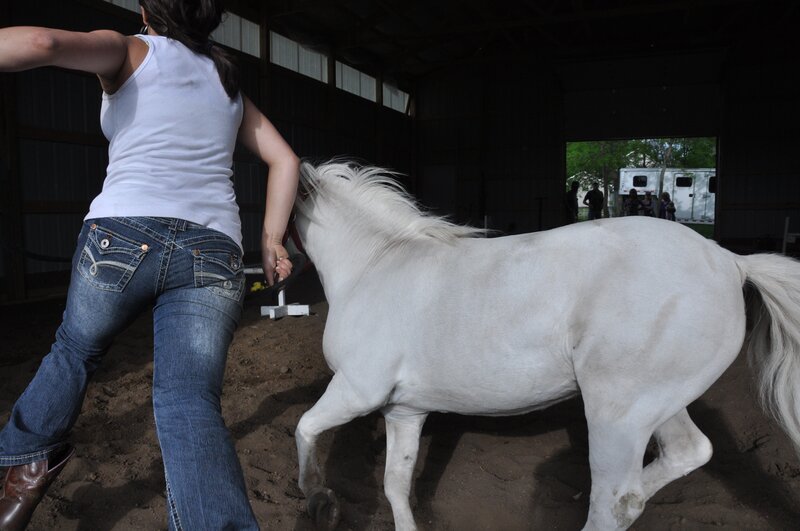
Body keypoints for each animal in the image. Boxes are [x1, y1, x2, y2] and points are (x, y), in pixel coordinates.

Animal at [290, 161, 800, 530]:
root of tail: (729, 261)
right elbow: (396, 485)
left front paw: (319, 501)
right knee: (686, 453)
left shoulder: (357, 391)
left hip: (618, 413)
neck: (373, 267)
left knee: (619, 502)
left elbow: (305, 427)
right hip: (658, 404)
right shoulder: (403, 411)